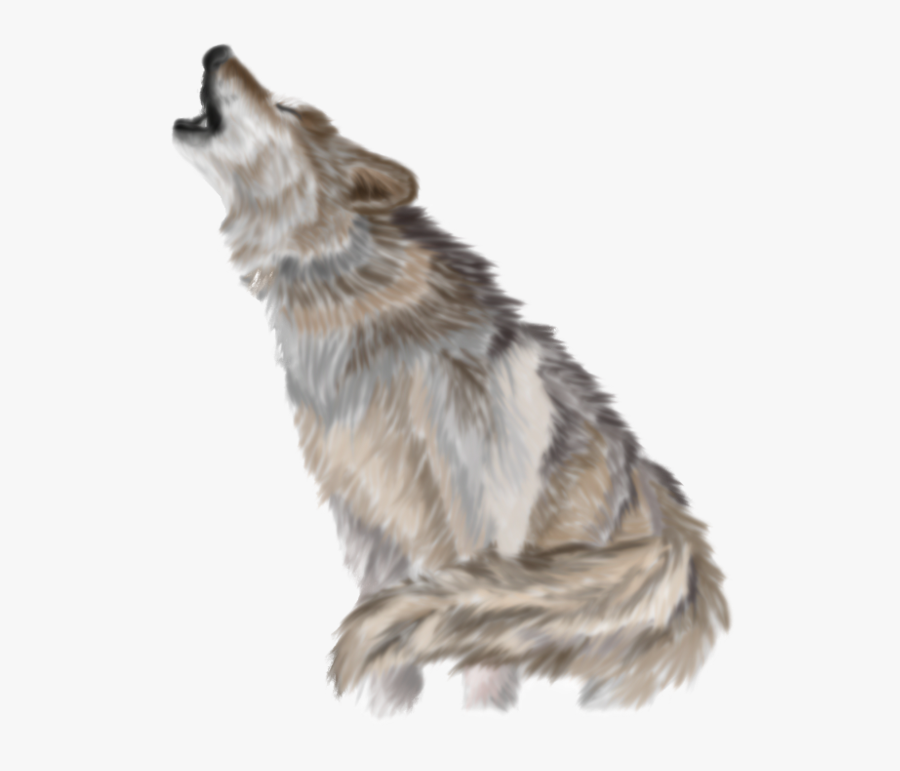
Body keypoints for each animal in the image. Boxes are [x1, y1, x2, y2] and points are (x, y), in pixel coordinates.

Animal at [173, 45, 729, 716]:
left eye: (287, 108)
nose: (217, 51)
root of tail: (682, 542)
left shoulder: (479, 531)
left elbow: (477, 654)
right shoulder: (364, 525)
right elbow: (390, 653)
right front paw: (385, 711)